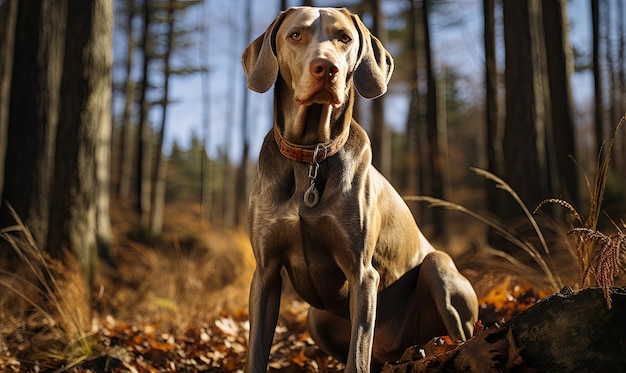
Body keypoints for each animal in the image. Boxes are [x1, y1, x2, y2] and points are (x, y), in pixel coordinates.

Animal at [241, 6, 476, 372]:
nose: (327, 68)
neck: (311, 155)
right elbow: (256, 352)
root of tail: (396, 350)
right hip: (316, 317)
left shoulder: (363, 274)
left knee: (461, 335)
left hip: (439, 269)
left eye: (344, 38)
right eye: (295, 35)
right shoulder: (265, 272)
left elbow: (357, 354)